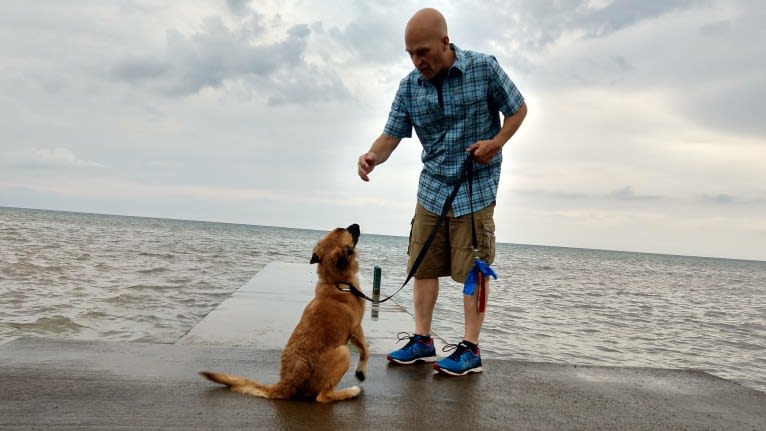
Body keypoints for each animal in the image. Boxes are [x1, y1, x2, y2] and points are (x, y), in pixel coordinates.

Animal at [200, 224, 370, 404]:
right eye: (345, 230)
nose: (357, 224)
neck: (335, 282)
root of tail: (284, 384)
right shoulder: (356, 328)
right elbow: (365, 350)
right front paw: (361, 371)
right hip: (343, 353)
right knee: (323, 396)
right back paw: (350, 391)